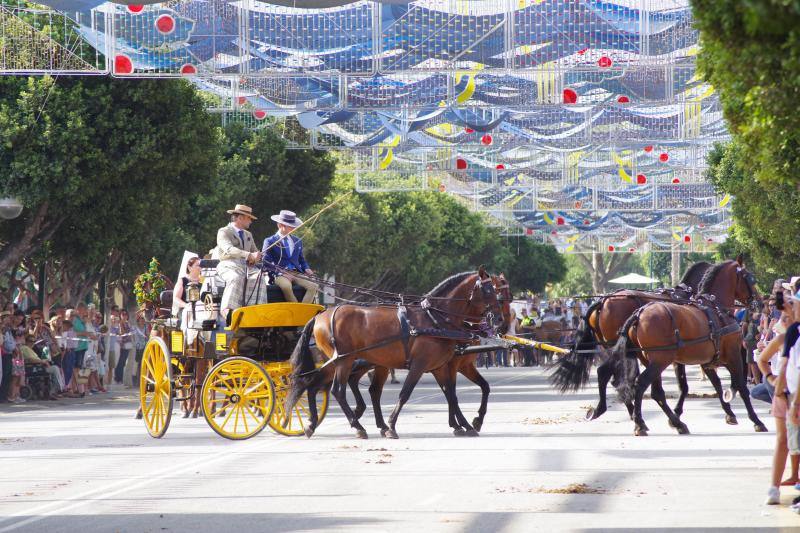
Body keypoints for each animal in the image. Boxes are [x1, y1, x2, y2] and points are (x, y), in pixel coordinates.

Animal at [286, 268, 500, 438]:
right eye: (490, 290)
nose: (498, 320)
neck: (434, 319)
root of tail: (322, 314)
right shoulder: (422, 365)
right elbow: (406, 393)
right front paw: (391, 426)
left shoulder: (439, 366)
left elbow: (451, 394)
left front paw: (464, 424)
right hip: (344, 360)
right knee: (337, 389)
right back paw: (357, 426)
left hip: (340, 361)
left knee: (314, 384)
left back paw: (313, 423)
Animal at [612, 258, 768, 436]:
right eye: (750, 278)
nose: (760, 302)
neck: (716, 308)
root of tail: (639, 314)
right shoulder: (733, 356)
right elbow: (741, 387)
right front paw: (756, 420)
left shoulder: (707, 361)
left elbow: (717, 385)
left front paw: (729, 413)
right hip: (660, 361)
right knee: (642, 384)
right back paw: (640, 422)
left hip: (651, 361)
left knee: (657, 392)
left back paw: (676, 423)